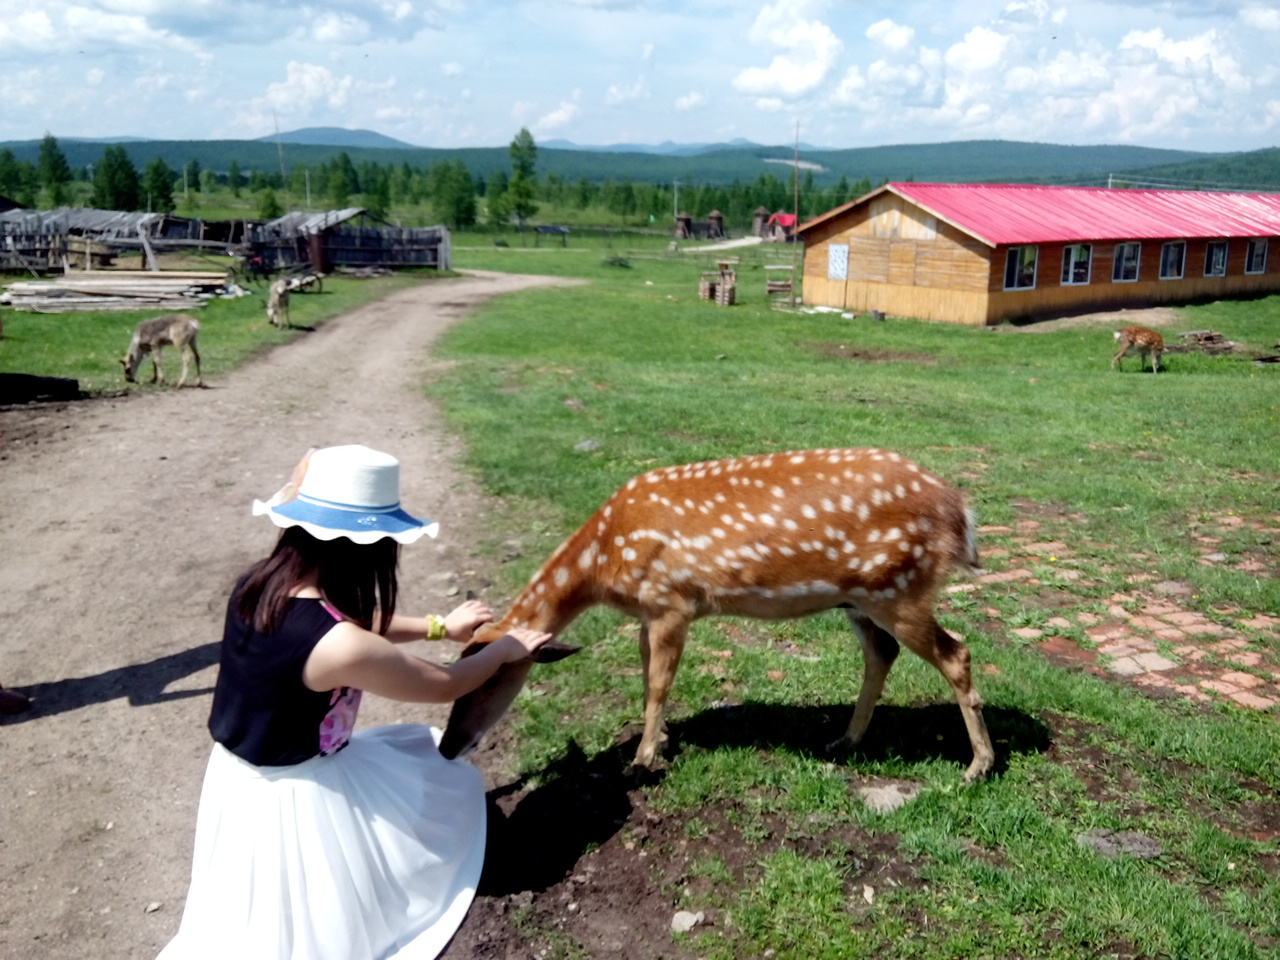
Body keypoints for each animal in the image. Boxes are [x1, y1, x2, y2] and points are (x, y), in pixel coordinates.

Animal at [442, 448, 998, 783]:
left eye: (489, 680)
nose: (449, 747)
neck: (603, 560)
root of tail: (961, 515)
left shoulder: (672, 601)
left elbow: (659, 681)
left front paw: (642, 761)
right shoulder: (648, 611)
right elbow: (646, 672)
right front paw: (663, 740)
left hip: (899, 588)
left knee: (956, 654)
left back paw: (978, 766)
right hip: (863, 598)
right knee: (883, 653)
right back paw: (843, 740)